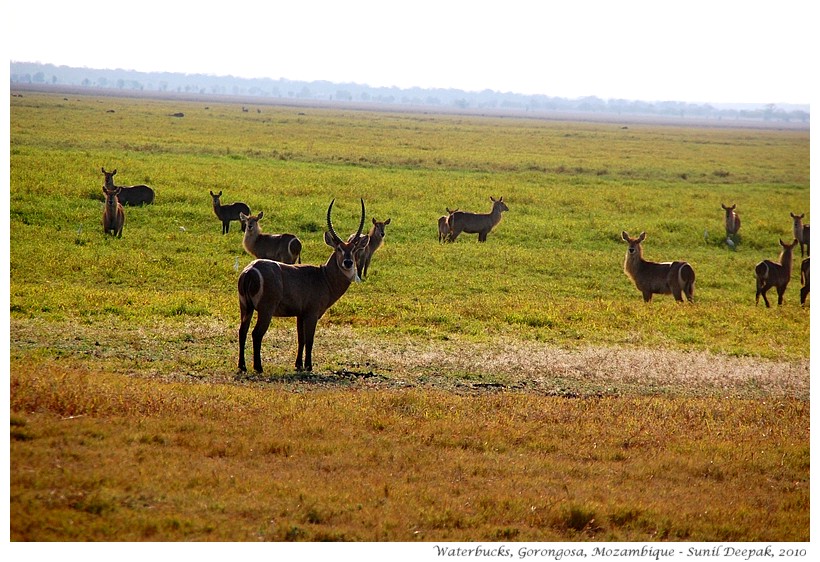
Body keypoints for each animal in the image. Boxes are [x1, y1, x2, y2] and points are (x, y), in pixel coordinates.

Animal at [237, 198, 366, 372]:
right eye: (339, 248)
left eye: (353, 249)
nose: (348, 262)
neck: (324, 276)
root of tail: (250, 270)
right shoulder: (312, 314)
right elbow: (310, 340)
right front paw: (309, 366)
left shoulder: (300, 314)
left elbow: (301, 339)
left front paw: (298, 364)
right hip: (266, 309)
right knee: (256, 333)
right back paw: (258, 367)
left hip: (246, 306)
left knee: (242, 331)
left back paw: (242, 366)